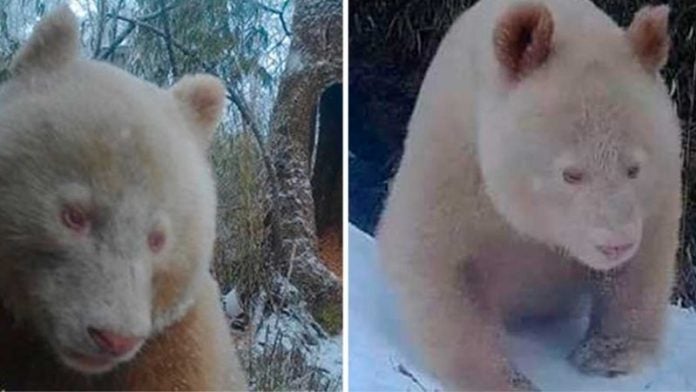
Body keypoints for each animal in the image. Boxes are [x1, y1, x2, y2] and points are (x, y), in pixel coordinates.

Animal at [378, 0, 684, 388]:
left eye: (634, 169)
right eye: (571, 174)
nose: (615, 244)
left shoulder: (659, 183)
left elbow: (643, 262)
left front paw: (607, 357)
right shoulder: (453, 153)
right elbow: (435, 259)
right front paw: (503, 379)